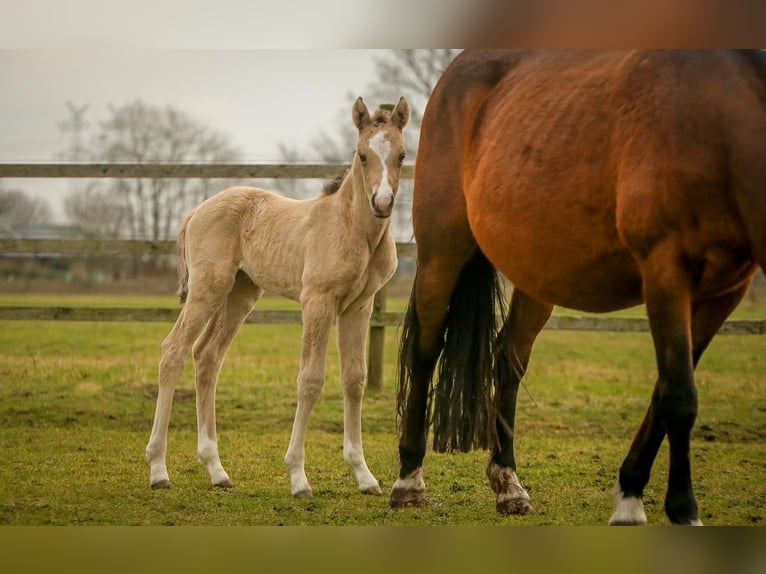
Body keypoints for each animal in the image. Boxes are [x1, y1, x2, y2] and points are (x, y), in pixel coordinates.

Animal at [143, 95, 408, 500]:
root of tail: (196, 211)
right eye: (362, 155)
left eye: (402, 155)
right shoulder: (318, 302)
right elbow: (310, 380)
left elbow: (355, 379)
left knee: (207, 356)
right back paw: (158, 469)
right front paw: (298, 478)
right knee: (174, 350)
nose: (382, 202)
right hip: (208, 288)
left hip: (240, 294)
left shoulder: (359, 307)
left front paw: (364, 476)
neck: (353, 229)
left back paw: (217, 470)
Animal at [392, 50, 764, 528]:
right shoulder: (666, 273)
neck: (719, 114)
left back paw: (509, 485)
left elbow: (664, 391)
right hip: (443, 251)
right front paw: (682, 510)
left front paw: (630, 495)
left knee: (508, 358)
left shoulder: (724, 292)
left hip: (535, 272)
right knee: (425, 349)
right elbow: (679, 397)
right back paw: (409, 481)